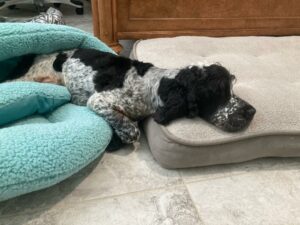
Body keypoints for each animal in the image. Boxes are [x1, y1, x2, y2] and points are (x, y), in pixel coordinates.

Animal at [6, 49, 255, 151]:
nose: (252, 112)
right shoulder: (98, 100)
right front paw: (123, 136)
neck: (155, 85)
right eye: (218, 91)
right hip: (33, 76)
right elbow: (130, 128)